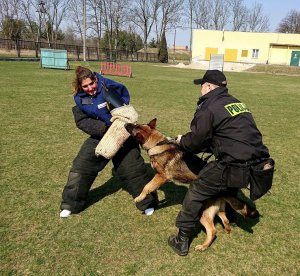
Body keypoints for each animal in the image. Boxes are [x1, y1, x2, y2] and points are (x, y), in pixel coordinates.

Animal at [124, 117, 258, 251]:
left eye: (132, 127)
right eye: (135, 124)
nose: (125, 123)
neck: (157, 144)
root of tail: (222, 192)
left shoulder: (161, 176)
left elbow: (147, 186)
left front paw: (139, 198)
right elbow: (151, 187)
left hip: (203, 213)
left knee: (213, 230)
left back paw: (203, 246)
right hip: (217, 210)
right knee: (225, 220)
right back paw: (227, 230)